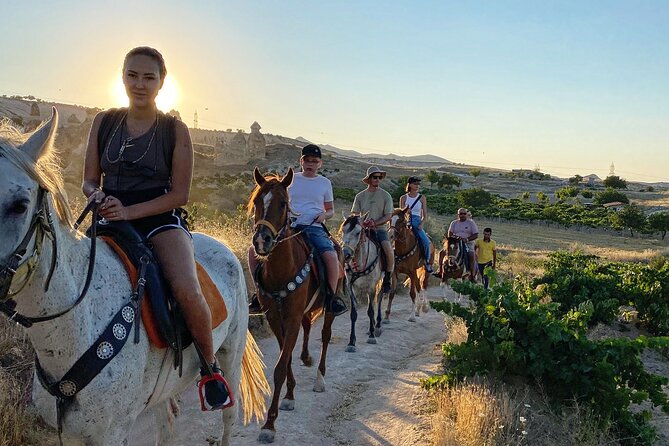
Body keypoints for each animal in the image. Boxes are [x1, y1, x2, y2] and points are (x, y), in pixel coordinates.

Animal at [0, 109, 266, 446]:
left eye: (20, 205)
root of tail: (223, 246)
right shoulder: (70, 434)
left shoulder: (112, 433)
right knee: (166, 424)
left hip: (231, 353)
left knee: (229, 413)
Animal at [248, 167, 336, 442]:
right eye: (257, 202)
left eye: (283, 203)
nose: (262, 241)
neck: (281, 270)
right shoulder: (276, 318)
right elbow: (284, 360)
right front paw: (289, 395)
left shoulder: (293, 316)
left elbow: (279, 366)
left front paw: (269, 424)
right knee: (309, 328)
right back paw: (306, 358)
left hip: (330, 307)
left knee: (326, 336)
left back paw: (320, 378)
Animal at [340, 215, 386, 352]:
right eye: (343, 230)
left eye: (358, 232)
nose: (346, 254)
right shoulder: (351, 287)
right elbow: (353, 314)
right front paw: (351, 342)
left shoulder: (371, 287)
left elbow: (370, 311)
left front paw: (371, 336)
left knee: (379, 298)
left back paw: (377, 325)